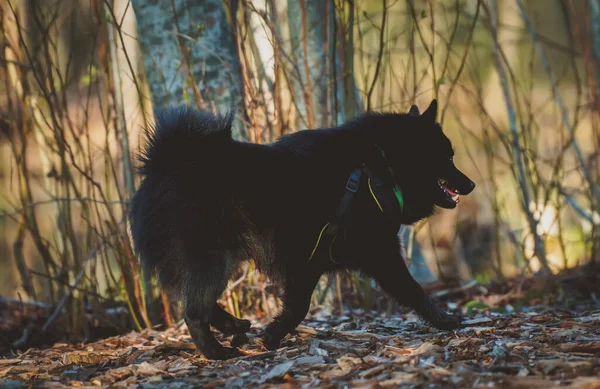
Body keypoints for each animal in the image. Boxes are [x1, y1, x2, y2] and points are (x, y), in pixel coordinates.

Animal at [129, 98, 476, 360]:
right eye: (447, 158)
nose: (471, 184)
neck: (378, 168)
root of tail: (162, 163)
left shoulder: (311, 261)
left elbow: (297, 306)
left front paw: (271, 335)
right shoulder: (375, 254)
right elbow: (413, 290)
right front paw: (446, 320)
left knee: (195, 302)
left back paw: (234, 327)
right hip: (212, 258)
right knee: (193, 312)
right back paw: (217, 352)